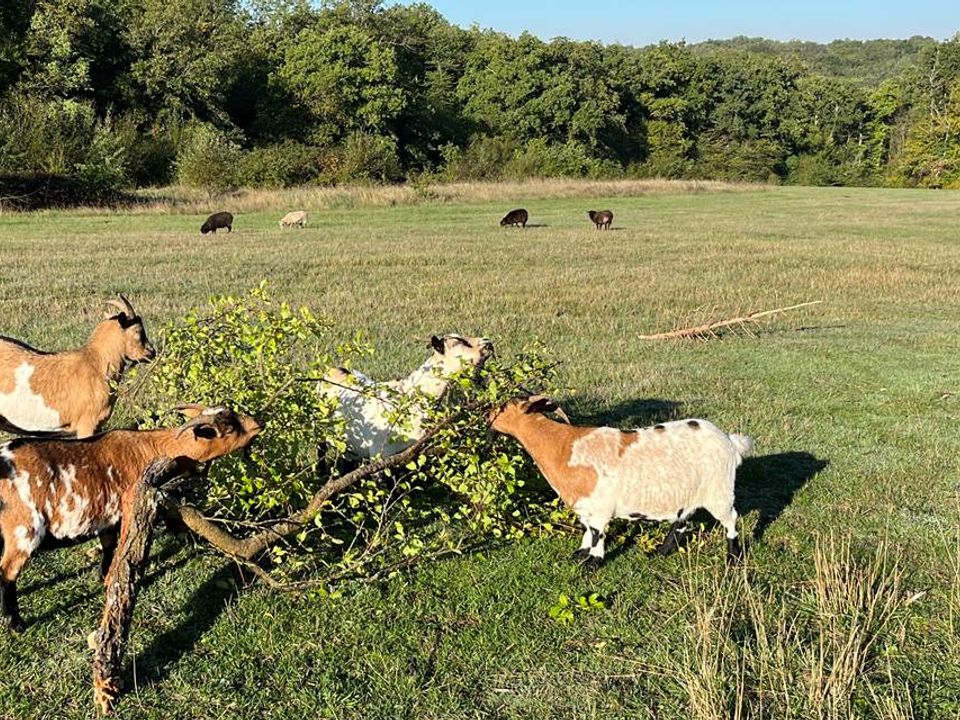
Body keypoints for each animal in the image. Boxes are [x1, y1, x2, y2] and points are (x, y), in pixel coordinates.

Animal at [0, 404, 262, 632]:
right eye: (230, 429)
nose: (258, 424)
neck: (151, 447)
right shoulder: (131, 506)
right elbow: (124, 549)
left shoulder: (105, 517)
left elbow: (108, 546)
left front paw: (104, 577)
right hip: (23, 530)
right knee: (7, 572)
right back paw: (15, 624)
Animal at [492, 396, 752, 564]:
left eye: (503, 407)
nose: (486, 414)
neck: (563, 446)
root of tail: (730, 441)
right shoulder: (584, 505)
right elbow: (586, 530)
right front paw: (579, 555)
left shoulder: (599, 507)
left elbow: (597, 534)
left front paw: (592, 563)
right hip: (689, 495)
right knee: (682, 522)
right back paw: (661, 552)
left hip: (719, 491)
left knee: (730, 520)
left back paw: (733, 558)